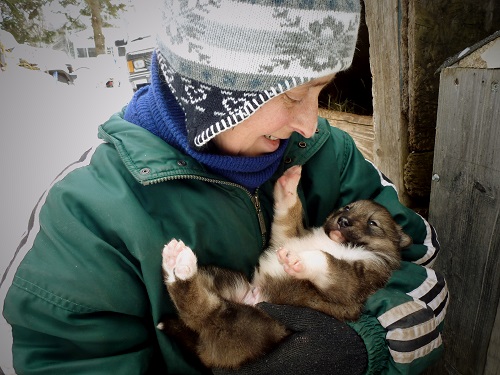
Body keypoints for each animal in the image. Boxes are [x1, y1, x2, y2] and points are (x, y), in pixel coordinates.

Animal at [158, 165, 412, 370]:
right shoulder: (287, 236)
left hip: (246, 324)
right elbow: (288, 216)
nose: (342, 221)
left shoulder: (358, 280)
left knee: (202, 311)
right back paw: (175, 263)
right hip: (225, 280)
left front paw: (296, 260)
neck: (338, 243)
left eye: (373, 223)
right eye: (347, 208)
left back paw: (180, 265)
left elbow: (328, 261)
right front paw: (288, 185)